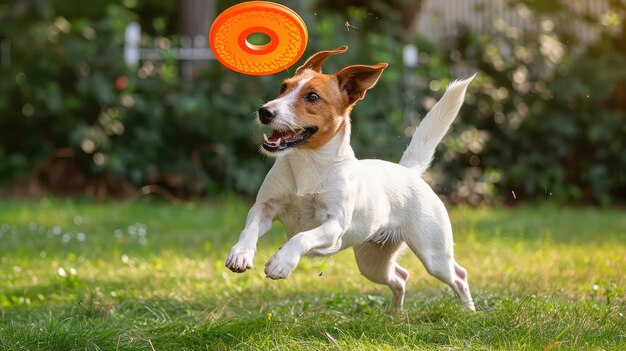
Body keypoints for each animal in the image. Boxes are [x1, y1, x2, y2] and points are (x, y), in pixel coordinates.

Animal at [224, 46, 472, 310]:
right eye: (283, 87)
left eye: (312, 97)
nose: (265, 111)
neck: (309, 164)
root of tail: (408, 170)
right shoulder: (265, 208)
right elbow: (250, 227)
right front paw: (240, 253)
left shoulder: (334, 225)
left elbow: (303, 236)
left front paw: (282, 261)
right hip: (372, 262)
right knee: (401, 276)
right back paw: (395, 313)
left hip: (433, 254)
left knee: (458, 275)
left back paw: (469, 310)